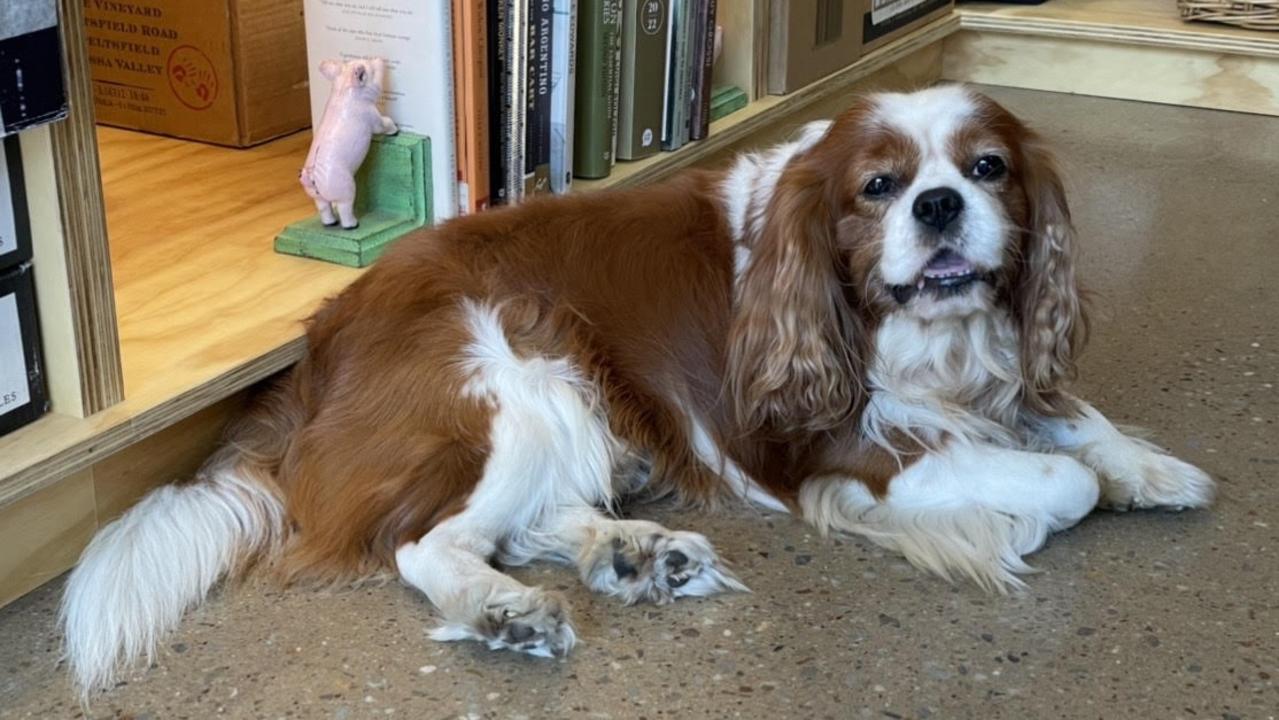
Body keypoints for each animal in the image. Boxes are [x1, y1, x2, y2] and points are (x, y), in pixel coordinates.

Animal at [62, 85, 1207, 700]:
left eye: (987, 168)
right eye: (878, 187)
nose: (937, 206)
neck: (933, 339)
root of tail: (309, 355)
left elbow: (1068, 418)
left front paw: (1151, 466)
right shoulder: (836, 445)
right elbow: (1055, 481)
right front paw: (1009, 521)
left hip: (566, 399)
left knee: (528, 521)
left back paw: (635, 553)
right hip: (513, 374)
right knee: (431, 544)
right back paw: (509, 611)